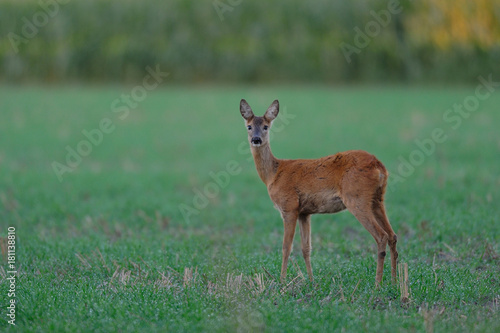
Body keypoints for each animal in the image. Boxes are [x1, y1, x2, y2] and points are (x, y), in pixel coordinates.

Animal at [240, 98, 400, 286]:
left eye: (266, 126)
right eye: (249, 126)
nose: (256, 139)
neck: (273, 174)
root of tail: (379, 166)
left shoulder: (289, 206)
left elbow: (286, 247)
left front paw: (282, 281)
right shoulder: (304, 212)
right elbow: (306, 248)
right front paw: (311, 281)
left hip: (357, 198)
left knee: (381, 236)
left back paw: (377, 284)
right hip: (378, 199)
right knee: (392, 235)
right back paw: (395, 282)